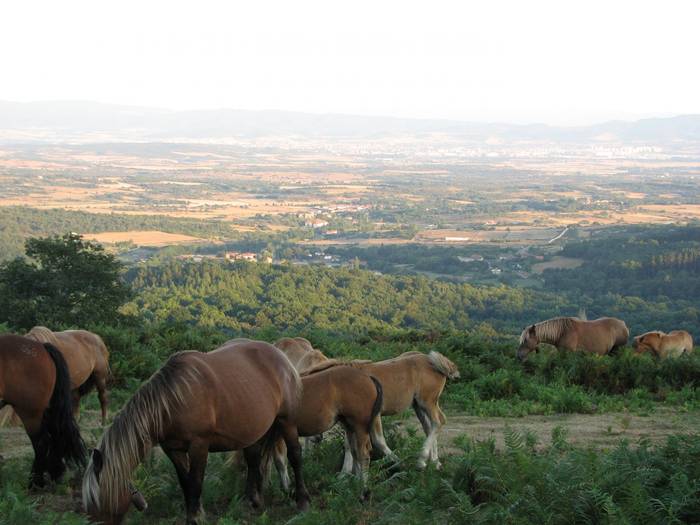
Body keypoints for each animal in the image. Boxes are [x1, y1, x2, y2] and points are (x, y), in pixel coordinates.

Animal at [82, 340, 308, 524]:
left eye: (97, 499)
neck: (171, 400)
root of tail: (282, 357)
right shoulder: (173, 449)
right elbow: (186, 482)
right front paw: (193, 515)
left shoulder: (199, 445)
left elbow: (196, 482)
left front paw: (196, 517)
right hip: (254, 429)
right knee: (253, 459)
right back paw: (253, 500)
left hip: (287, 422)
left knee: (295, 456)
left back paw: (302, 501)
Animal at [302, 350, 460, 468]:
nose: (316, 438)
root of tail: (433, 361)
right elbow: (348, 445)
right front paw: (344, 475)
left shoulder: (373, 415)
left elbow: (378, 441)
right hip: (419, 406)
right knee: (430, 427)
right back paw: (435, 462)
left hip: (427, 402)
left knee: (438, 422)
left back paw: (422, 460)